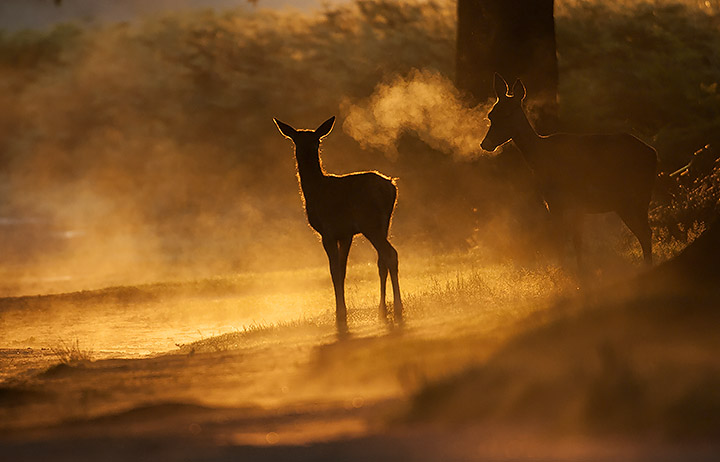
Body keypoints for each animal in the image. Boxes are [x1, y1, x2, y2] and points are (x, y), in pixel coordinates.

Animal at [273, 116, 403, 334]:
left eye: (317, 140)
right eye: (297, 140)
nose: (305, 152)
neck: (314, 190)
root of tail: (390, 186)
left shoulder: (328, 231)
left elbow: (334, 270)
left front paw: (340, 314)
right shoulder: (346, 234)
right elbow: (343, 270)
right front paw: (343, 311)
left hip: (370, 223)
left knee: (390, 254)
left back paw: (399, 307)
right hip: (386, 223)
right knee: (381, 261)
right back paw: (382, 310)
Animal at [481, 73, 658, 269]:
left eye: (507, 113)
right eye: (491, 114)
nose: (485, 144)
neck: (540, 157)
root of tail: (653, 154)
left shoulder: (566, 200)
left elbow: (567, 240)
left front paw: (570, 272)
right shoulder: (562, 203)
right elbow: (572, 241)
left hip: (632, 198)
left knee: (645, 233)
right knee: (646, 232)